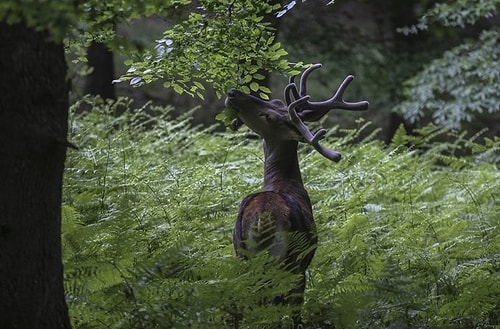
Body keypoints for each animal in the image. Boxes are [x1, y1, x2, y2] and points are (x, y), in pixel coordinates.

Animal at [225, 62, 370, 326]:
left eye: (270, 112)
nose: (233, 93)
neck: (284, 182)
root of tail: (261, 216)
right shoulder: (301, 268)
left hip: (245, 257)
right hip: (284, 262)